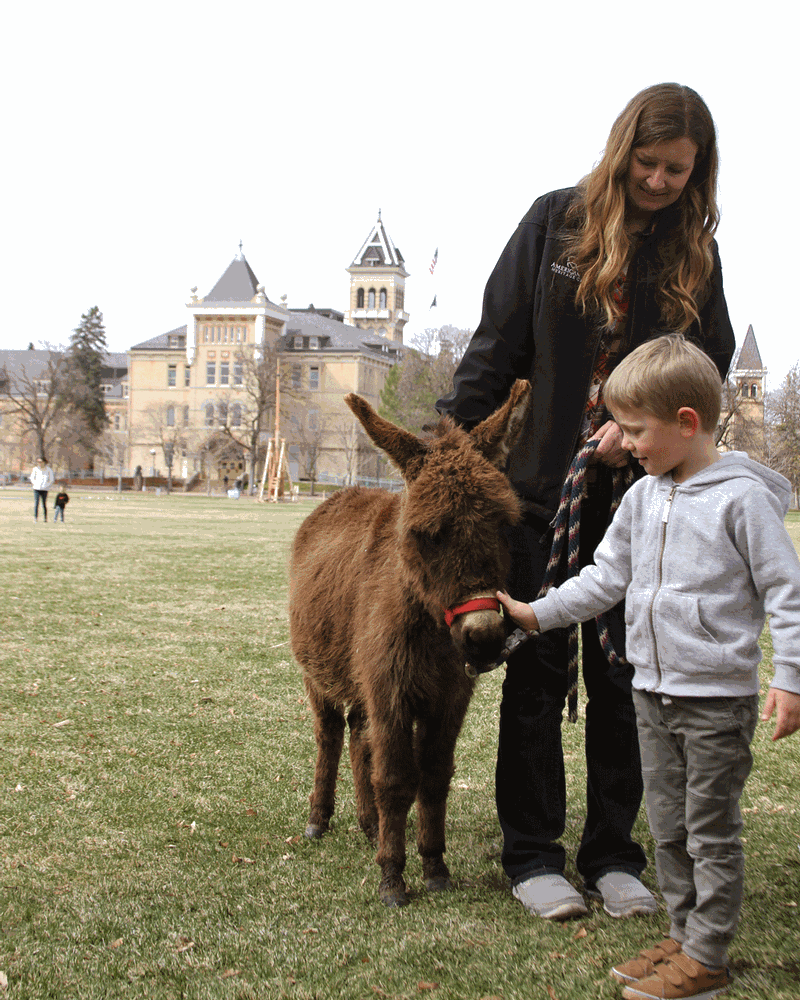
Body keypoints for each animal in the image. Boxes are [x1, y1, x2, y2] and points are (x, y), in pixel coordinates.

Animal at [289, 380, 530, 906]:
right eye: (427, 534)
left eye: (504, 526)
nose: (484, 637)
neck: (431, 632)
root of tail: (341, 494)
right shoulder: (392, 692)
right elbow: (398, 779)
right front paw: (393, 878)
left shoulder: (448, 698)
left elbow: (434, 777)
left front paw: (434, 865)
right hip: (318, 675)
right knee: (329, 735)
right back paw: (320, 820)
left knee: (359, 737)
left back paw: (368, 824)